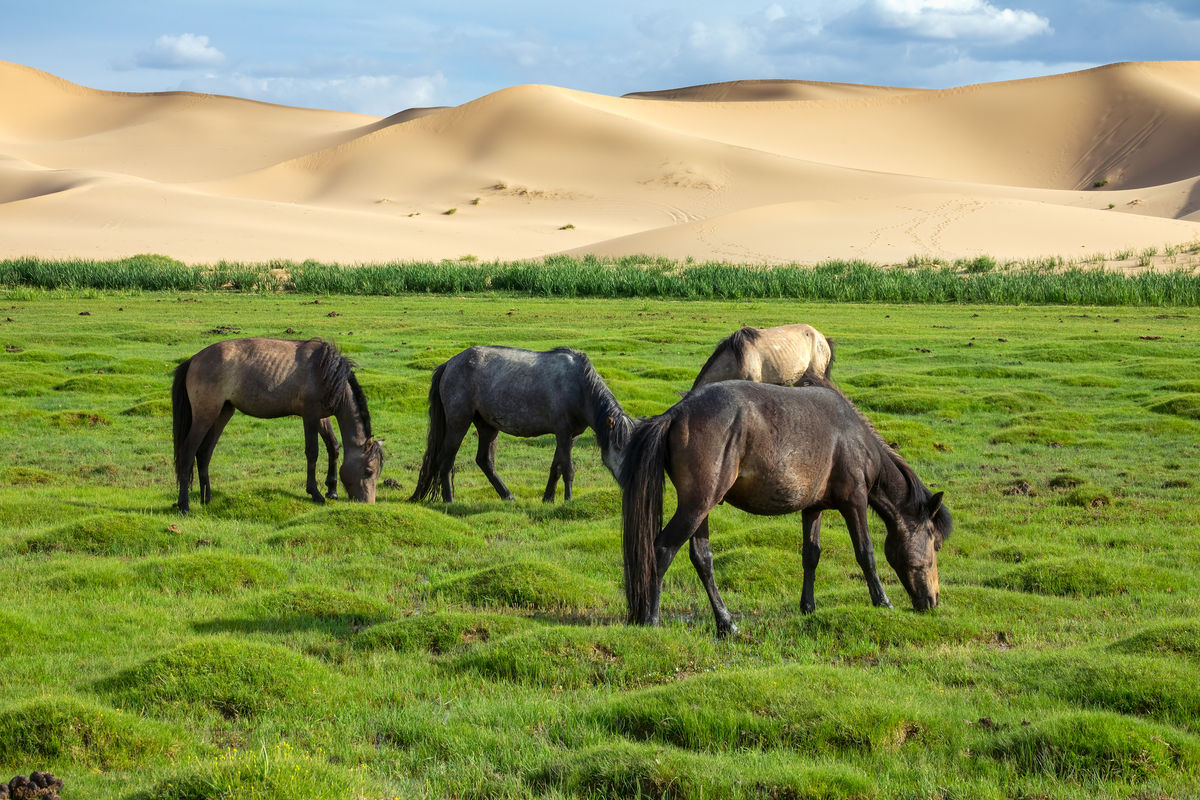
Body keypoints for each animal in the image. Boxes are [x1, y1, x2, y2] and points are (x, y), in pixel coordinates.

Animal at [169, 338, 381, 513]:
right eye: (368, 471)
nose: (368, 503)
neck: (327, 373)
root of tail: (193, 360)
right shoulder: (310, 416)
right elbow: (312, 452)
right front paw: (315, 493)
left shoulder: (322, 417)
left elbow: (333, 446)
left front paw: (332, 490)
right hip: (204, 417)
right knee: (188, 453)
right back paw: (184, 505)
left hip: (223, 413)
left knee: (204, 453)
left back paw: (207, 498)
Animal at [410, 347, 638, 503]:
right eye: (620, 451)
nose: (630, 483)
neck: (579, 387)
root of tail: (449, 364)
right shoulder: (563, 433)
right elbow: (568, 469)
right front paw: (568, 500)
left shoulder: (571, 436)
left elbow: (556, 467)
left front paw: (548, 498)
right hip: (459, 422)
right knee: (446, 460)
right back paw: (449, 500)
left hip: (487, 427)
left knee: (485, 461)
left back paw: (507, 495)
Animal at [624, 381, 950, 638]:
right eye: (935, 544)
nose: (933, 600)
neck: (855, 439)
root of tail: (677, 413)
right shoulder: (855, 502)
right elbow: (865, 554)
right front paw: (882, 601)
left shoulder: (813, 508)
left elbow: (811, 555)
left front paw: (808, 606)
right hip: (696, 506)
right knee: (662, 549)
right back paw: (651, 620)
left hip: (701, 509)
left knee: (702, 559)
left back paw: (726, 624)